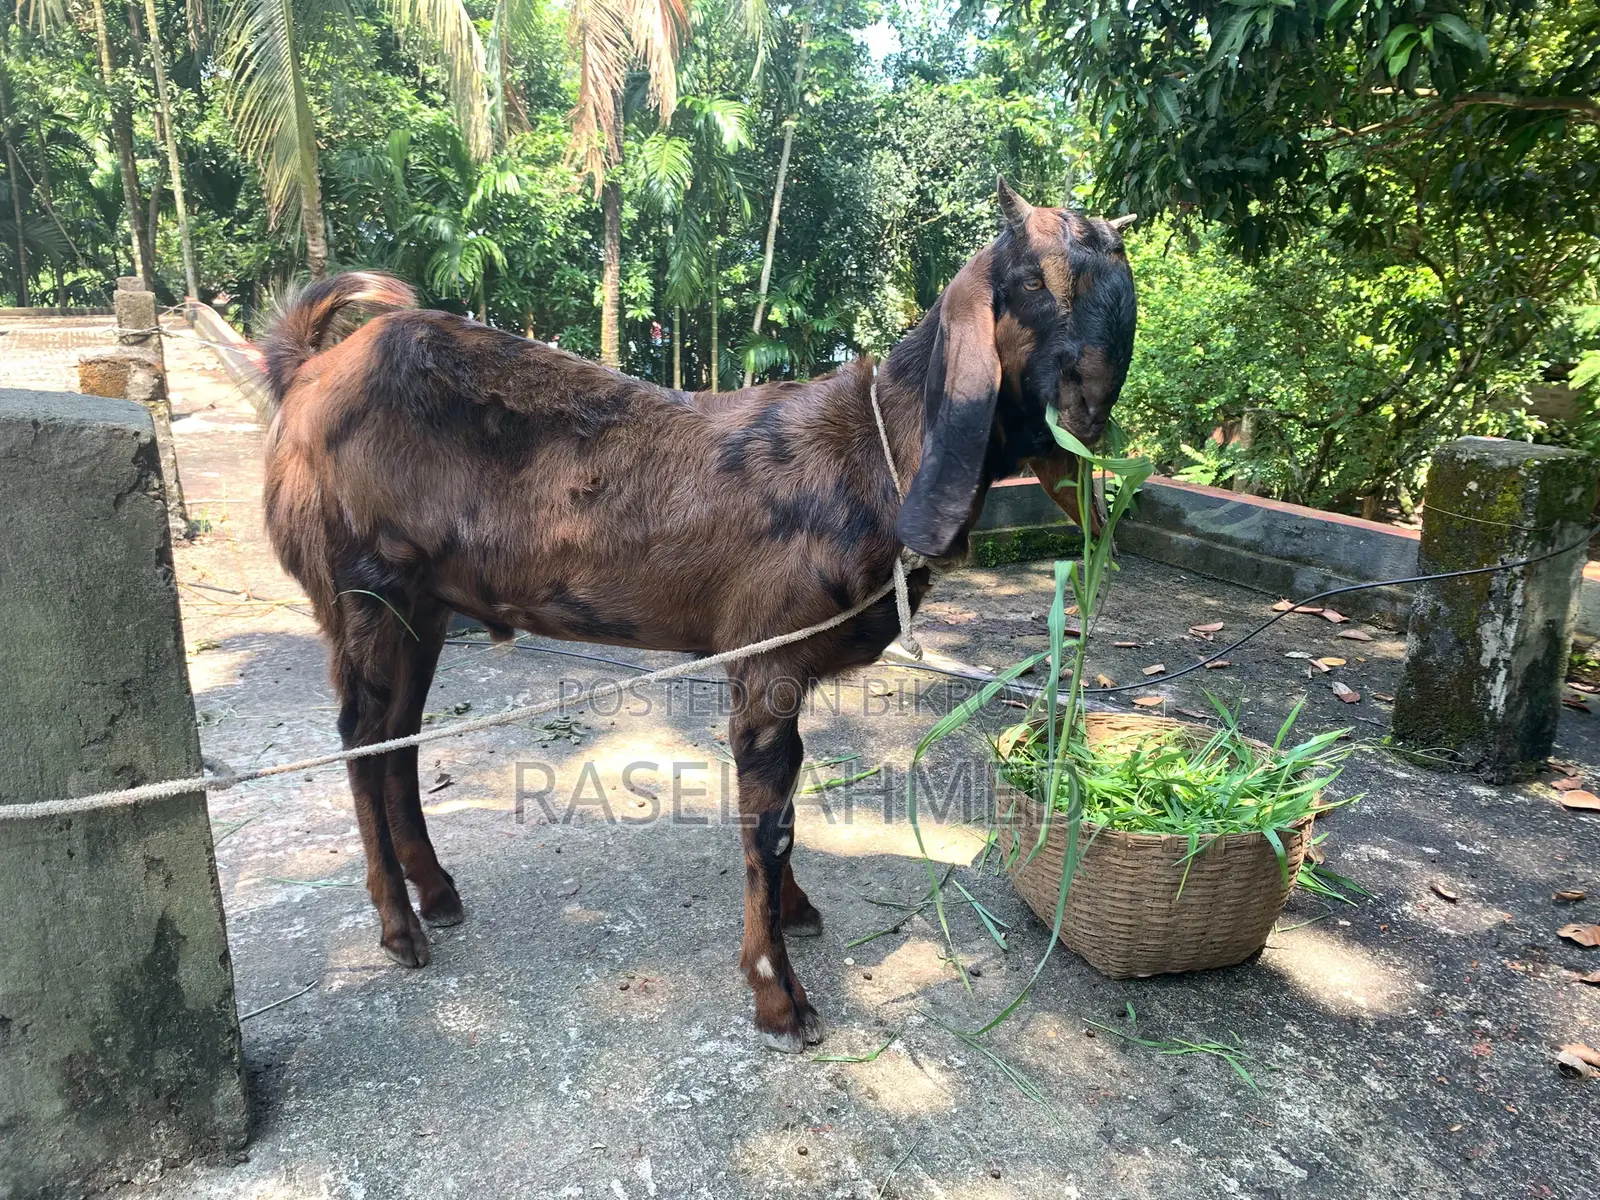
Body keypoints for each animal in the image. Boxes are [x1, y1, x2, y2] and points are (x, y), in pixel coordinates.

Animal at [261, 178, 1137, 1052]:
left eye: (1119, 281)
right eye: (1032, 281)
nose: (1087, 410)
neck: (876, 451)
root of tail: (307, 373)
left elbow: (782, 809)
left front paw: (797, 915)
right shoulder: (766, 654)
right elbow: (769, 822)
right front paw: (780, 997)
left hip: (424, 605)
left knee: (401, 736)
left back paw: (437, 892)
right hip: (362, 584)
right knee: (361, 736)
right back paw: (399, 926)